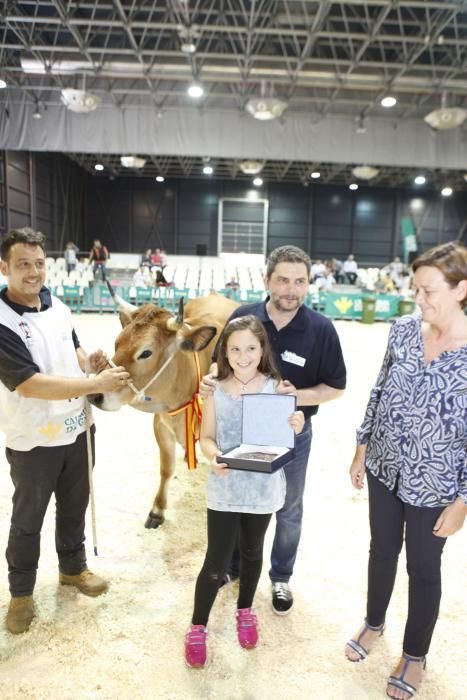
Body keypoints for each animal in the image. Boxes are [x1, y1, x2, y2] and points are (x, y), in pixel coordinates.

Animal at [89, 290, 239, 524]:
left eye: (146, 353)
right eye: (116, 343)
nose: (95, 394)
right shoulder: (161, 425)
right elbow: (166, 469)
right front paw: (157, 509)